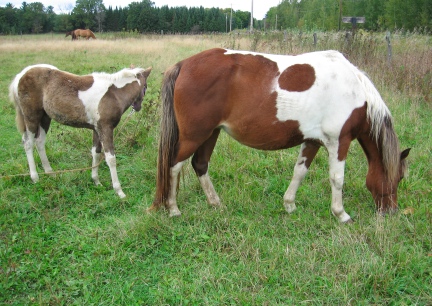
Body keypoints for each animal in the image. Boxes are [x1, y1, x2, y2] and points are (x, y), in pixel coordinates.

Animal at [9, 64, 153, 198]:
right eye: (145, 86)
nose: (138, 107)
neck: (114, 94)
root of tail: (20, 75)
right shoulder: (105, 128)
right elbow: (111, 158)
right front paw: (119, 191)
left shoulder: (96, 129)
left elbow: (96, 153)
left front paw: (96, 181)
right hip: (31, 116)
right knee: (28, 143)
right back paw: (35, 178)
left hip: (45, 117)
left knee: (39, 142)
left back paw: (50, 173)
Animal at [150, 47, 410, 222]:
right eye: (398, 178)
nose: (391, 210)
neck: (354, 90)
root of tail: (184, 64)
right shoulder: (340, 141)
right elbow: (337, 179)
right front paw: (341, 214)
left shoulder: (312, 141)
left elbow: (300, 172)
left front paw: (289, 205)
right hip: (194, 136)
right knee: (174, 166)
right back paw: (173, 209)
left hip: (210, 133)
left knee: (200, 164)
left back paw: (216, 204)